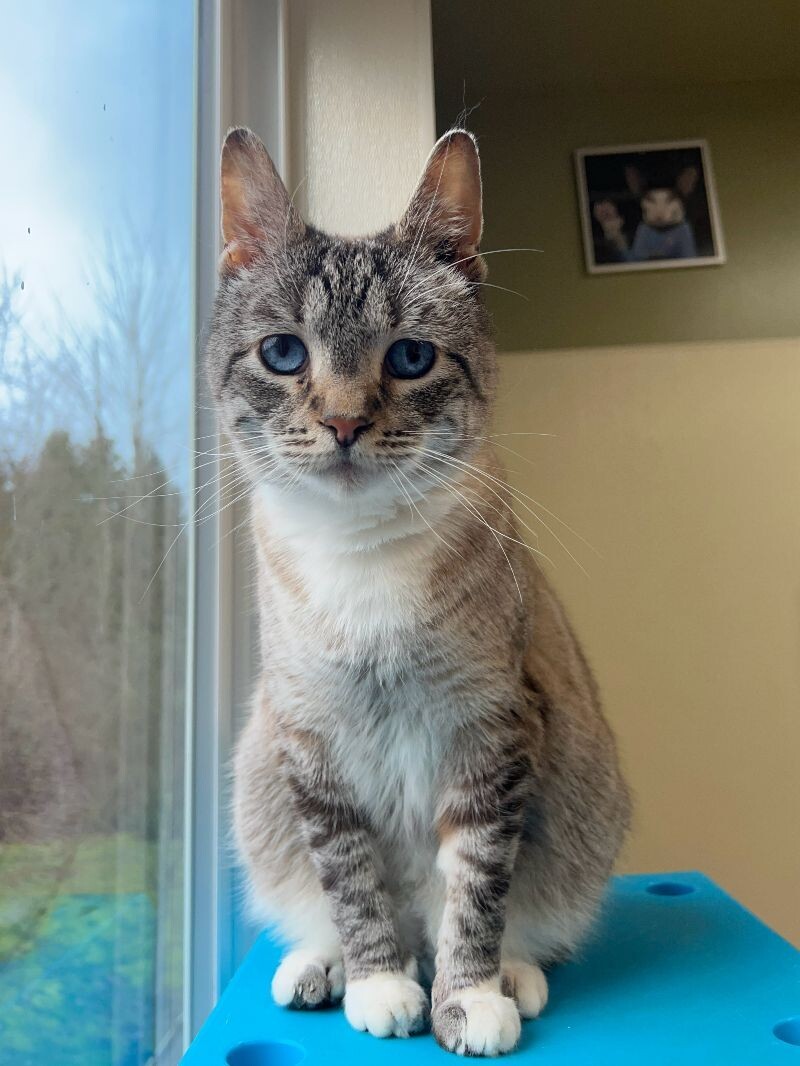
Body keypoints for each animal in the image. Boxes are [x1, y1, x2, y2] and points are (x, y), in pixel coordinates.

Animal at [206, 124, 631, 1057]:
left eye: (409, 357)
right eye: (284, 353)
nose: (342, 423)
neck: (359, 561)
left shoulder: (490, 734)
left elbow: (471, 892)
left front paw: (467, 1000)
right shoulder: (313, 747)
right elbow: (355, 885)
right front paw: (379, 985)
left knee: (513, 921)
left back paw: (512, 979)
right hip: (258, 774)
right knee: (326, 910)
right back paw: (317, 970)